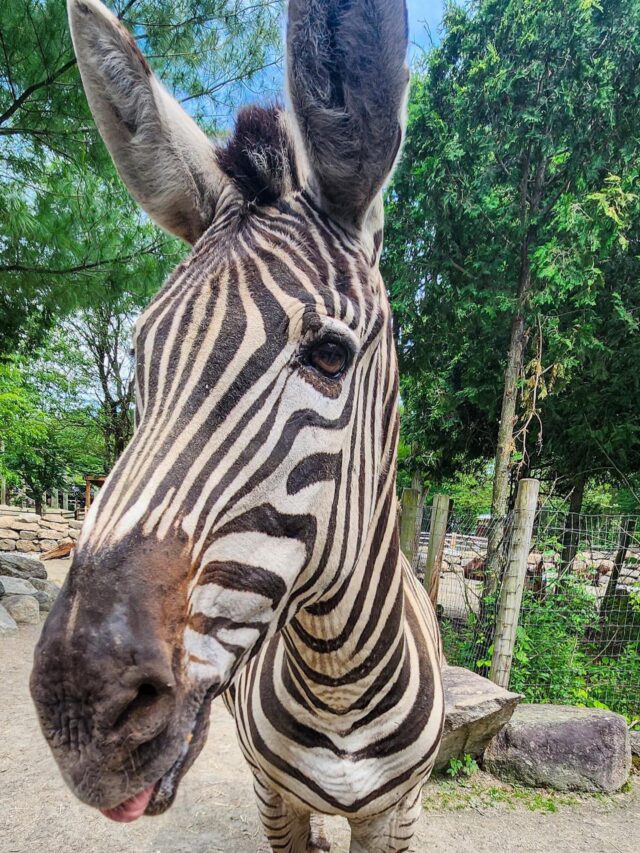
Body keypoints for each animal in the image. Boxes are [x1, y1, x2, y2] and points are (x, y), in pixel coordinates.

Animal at [30, 1, 445, 851]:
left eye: (330, 354)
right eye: (141, 358)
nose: (80, 716)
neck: (337, 673)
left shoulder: (397, 812)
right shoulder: (272, 796)